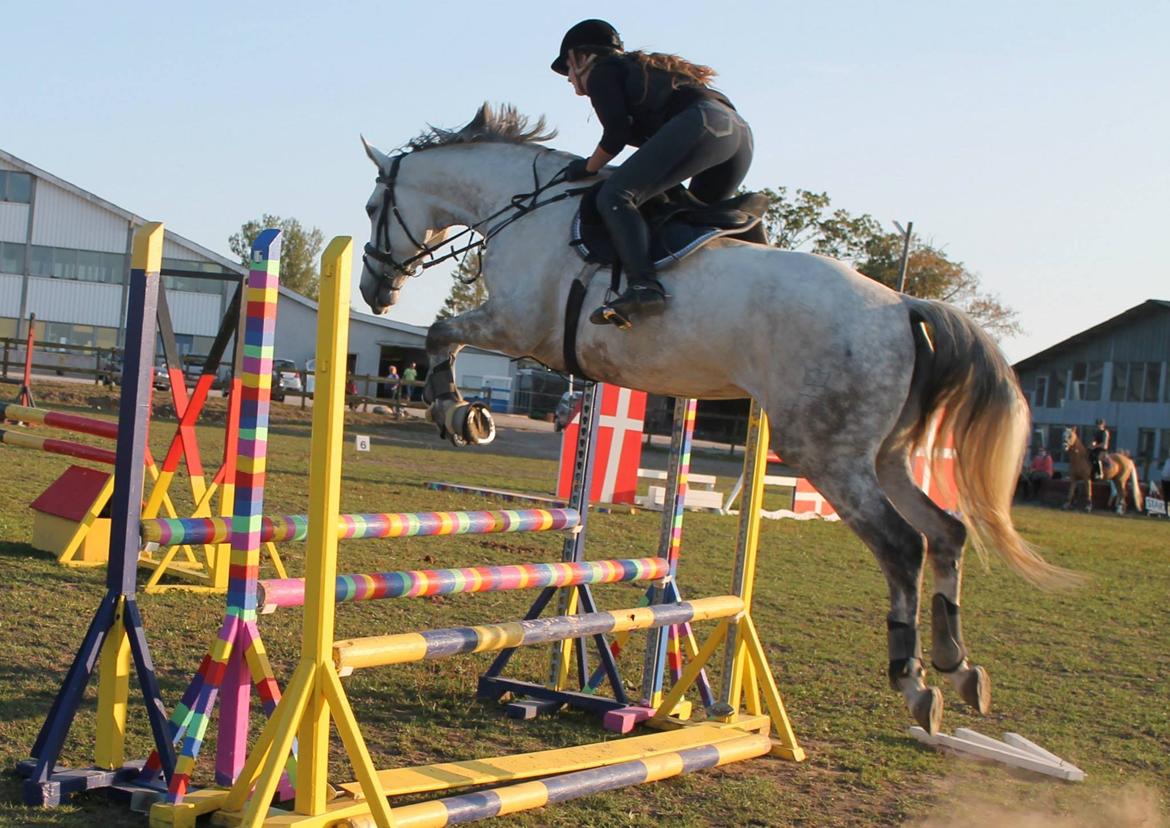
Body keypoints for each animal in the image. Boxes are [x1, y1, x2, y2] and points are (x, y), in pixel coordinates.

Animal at [358, 105, 1071, 739]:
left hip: (827, 453)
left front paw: (459, 413)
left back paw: (914, 682)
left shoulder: (515, 325)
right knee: (947, 532)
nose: (372, 290)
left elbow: (439, 333)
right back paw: (959, 669)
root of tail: (902, 304)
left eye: (371, 209)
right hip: (885, 454)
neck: (526, 208)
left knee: (903, 546)